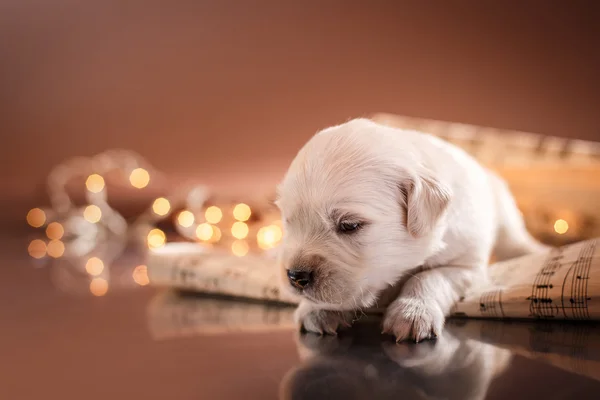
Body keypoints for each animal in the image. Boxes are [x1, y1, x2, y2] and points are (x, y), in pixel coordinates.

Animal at [274, 118, 548, 340]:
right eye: (289, 222)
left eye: (349, 225)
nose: (295, 276)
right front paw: (317, 310)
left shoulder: (467, 265)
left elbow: (429, 276)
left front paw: (412, 313)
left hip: (504, 210)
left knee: (515, 240)